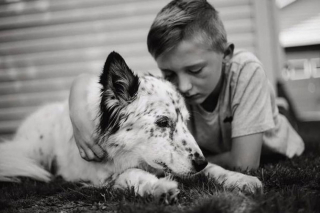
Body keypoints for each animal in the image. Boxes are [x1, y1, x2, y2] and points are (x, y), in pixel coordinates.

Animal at [0, 51, 260, 203]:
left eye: (185, 121)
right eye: (163, 122)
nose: (200, 162)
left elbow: (215, 169)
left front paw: (240, 179)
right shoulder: (106, 179)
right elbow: (133, 174)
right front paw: (159, 187)